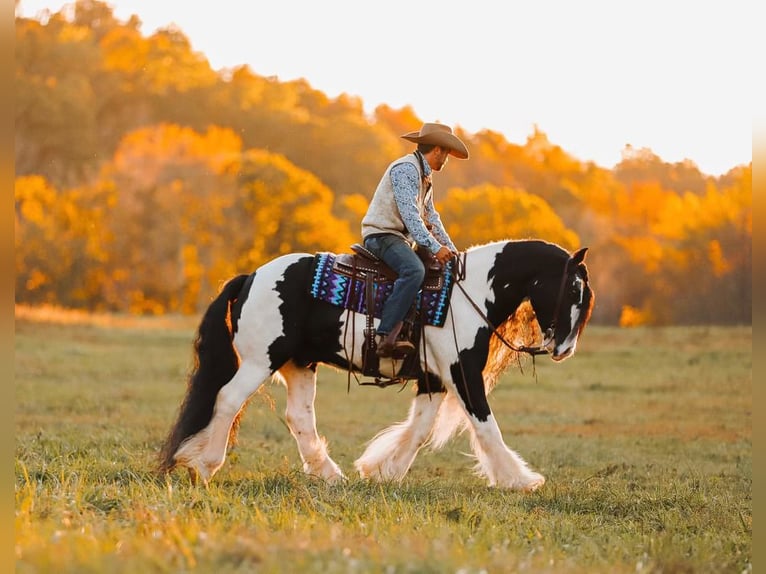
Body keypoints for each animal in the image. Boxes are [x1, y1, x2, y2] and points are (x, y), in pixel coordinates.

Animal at [159, 241, 596, 492]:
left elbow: (419, 430)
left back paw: (329, 475)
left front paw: (385, 471)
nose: (564, 349)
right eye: (574, 289)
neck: (467, 293)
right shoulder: (462, 373)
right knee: (228, 399)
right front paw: (519, 480)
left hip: (299, 364)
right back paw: (205, 466)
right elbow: (486, 427)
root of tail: (251, 276)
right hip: (260, 359)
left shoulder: (434, 379)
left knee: (299, 418)